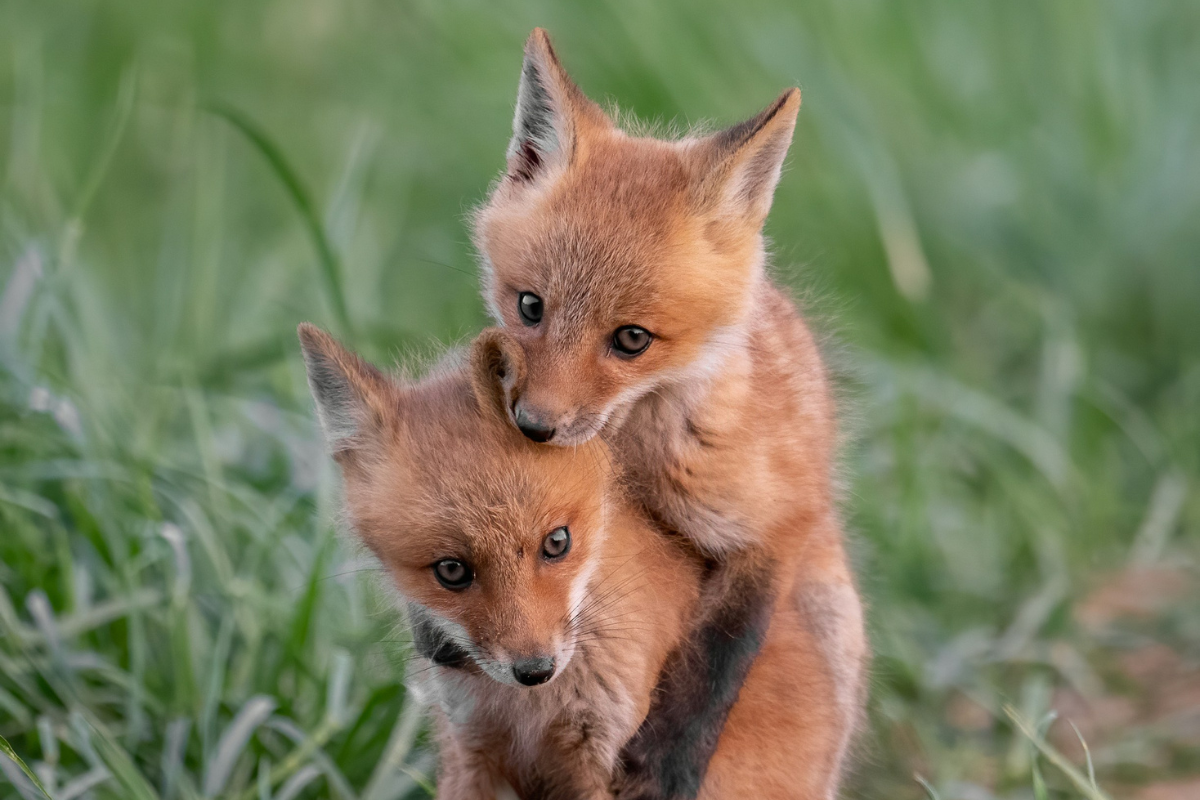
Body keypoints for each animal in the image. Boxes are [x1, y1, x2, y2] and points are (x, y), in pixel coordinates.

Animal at [299, 323, 831, 800]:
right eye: (451, 571)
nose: (535, 669)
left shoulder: (602, 758)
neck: (534, 711)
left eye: (557, 542)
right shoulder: (473, 751)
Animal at [469, 29, 868, 799]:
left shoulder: (774, 524)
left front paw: (666, 767)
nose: (533, 425)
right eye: (529, 306)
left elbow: (720, 656)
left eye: (632, 340)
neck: (636, 455)